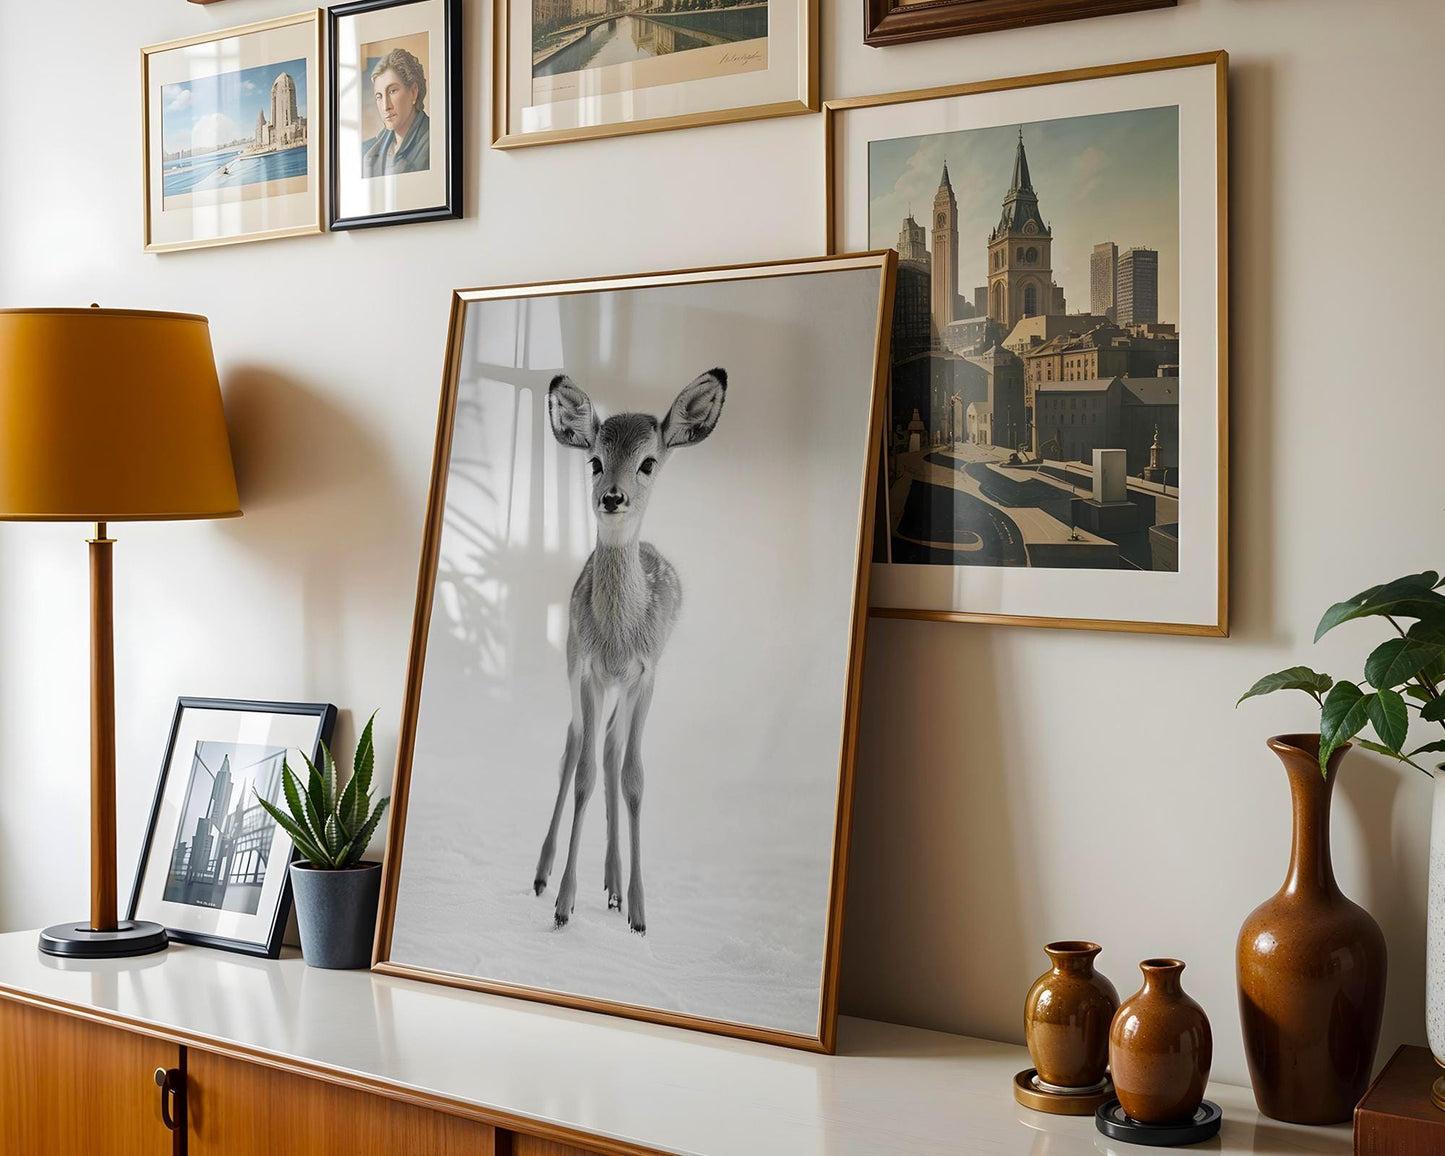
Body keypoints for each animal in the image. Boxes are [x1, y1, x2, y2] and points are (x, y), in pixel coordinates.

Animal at [533, 368, 728, 933]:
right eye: (595, 459)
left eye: (648, 461)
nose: (612, 497)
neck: (620, 636)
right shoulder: (591, 671)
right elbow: (584, 776)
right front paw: (563, 904)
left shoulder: (645, 674)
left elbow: (634, 778)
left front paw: (640, 912)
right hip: (572, 662)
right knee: (575, 743)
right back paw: (542, 875)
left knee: (611, 747)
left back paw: (615, 885)